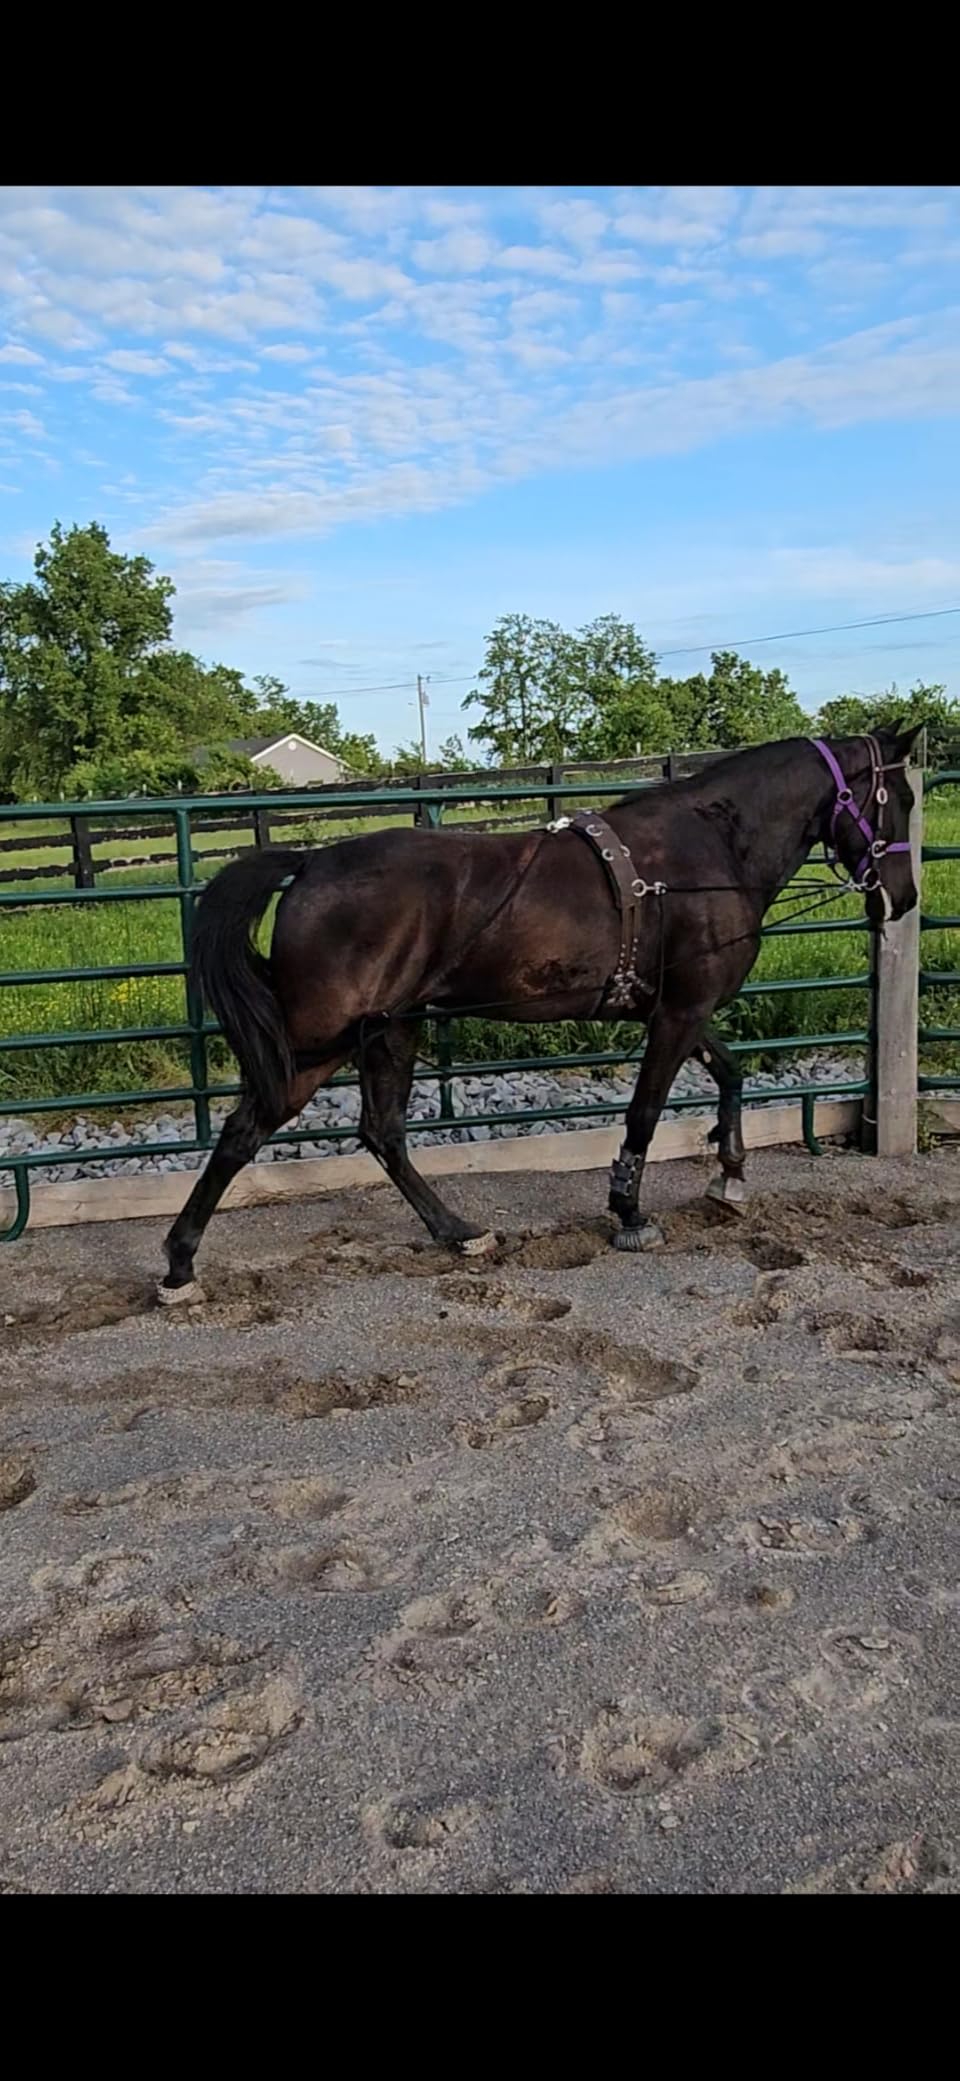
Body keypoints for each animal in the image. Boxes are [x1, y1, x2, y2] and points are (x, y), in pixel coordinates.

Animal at [158, 724, 921, 1301]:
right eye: (901, 797)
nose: (905, 898)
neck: (708, 850)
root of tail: (309, 865)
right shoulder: (680, 1012)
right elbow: (645, 1112)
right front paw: (629, 1212)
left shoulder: (677, 1008)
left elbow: (730, 1073)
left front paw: (729, 1174)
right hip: (321, 1040)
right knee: (249, 1130)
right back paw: (179, 1266)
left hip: (390, 1030)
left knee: (382, 1133)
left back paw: (459, 1233)